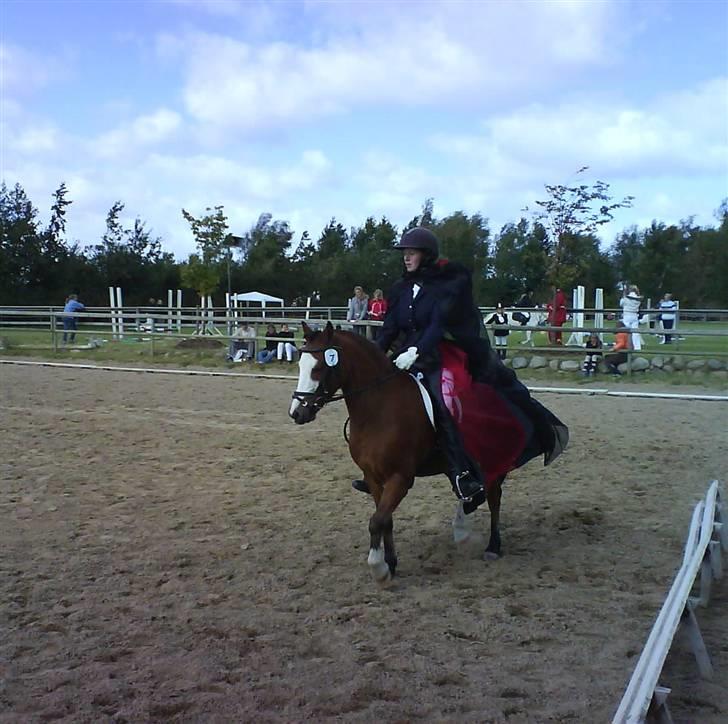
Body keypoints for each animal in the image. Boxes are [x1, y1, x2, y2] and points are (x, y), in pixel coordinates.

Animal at [288, 322, 510, 584]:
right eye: (300, 365)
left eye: (319, 367)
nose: (297, 413)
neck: (378, 409)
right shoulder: (373, 477)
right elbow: (386, 519)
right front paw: (391, 563)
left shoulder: (400, 478)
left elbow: (377, 521)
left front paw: (379, 568)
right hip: (454, 465)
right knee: (468, 491)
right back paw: (463, 527)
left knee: (494, 496)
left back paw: (493, 546)